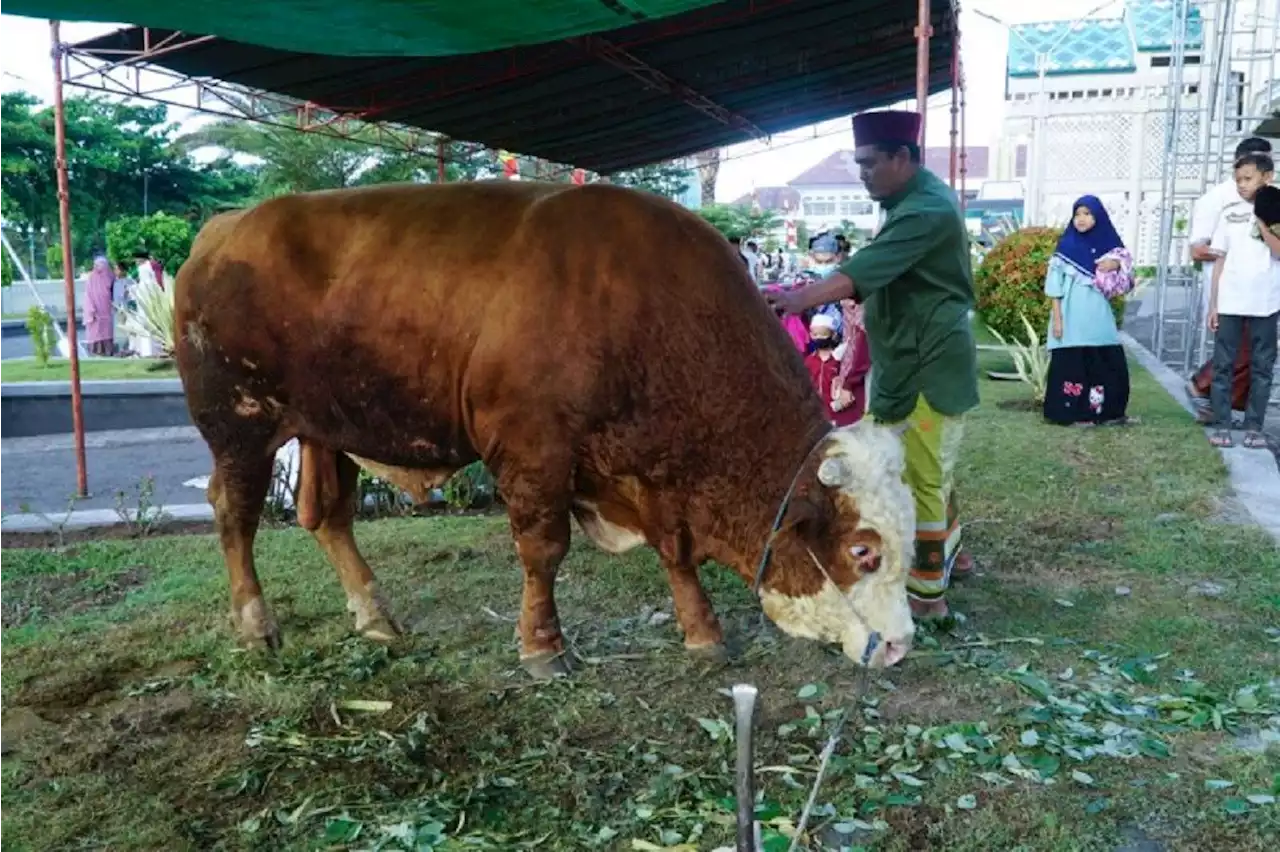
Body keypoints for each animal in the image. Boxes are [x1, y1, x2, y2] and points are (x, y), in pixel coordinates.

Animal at [175, 182, 916, 675]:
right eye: (863, 551)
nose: (902, 643)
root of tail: (225, 229)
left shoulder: (655, 473)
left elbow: (674, 553)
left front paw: (703, 631)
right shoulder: (534, 453)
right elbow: (544, 550)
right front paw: (542, 646)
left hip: (328, 430)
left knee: (329, 516)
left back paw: (377, 616)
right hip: (238, 424)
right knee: (234, 513)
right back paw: (256, 624)